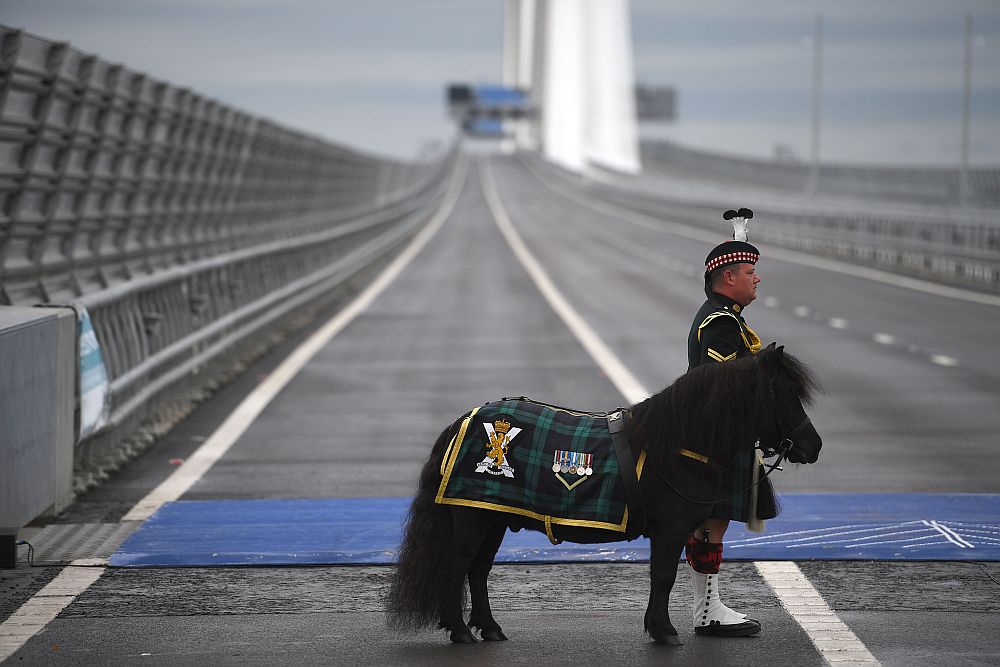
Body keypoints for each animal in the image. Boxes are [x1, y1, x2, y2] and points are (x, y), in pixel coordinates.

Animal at [384, 344, 820, 648]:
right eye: (782, 393)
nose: (813, 446)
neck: (673, 444)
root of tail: (464, 420)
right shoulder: (670, 530)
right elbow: (663, 576)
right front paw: (664, 631)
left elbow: (663, 576)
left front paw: (661, 628)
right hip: (472, 518)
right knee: (456, 566)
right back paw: (460, 632)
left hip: (491, 516)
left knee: (477, 570)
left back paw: (489, 628)